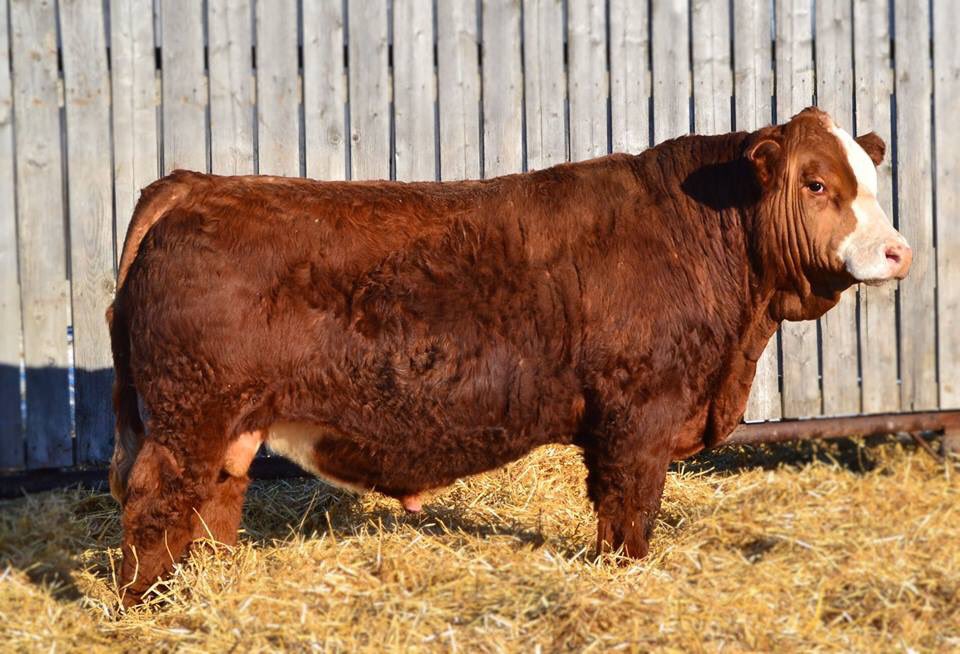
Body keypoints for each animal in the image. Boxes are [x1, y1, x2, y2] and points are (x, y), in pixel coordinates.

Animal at [108, 107, 911, 605]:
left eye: (871, 182)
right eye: (817, 182)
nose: (899, 251)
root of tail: (195, 186)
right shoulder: (638, 413)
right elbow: (628, 507)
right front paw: (622, 572)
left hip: (229, 422)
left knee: (215, 499)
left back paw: (207, 585)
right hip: (188, 412)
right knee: (154, 500)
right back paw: (149, 602)